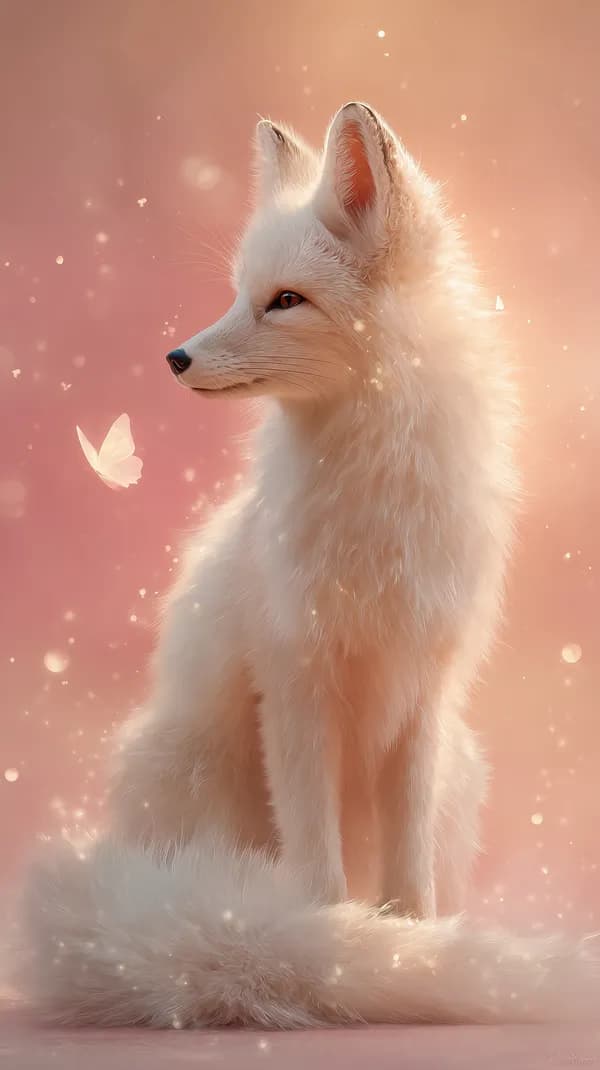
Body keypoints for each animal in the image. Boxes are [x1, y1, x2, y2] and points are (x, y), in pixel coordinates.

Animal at [14, 103, 600, 1028]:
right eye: (238, 292)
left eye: (285, 300)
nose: (174, 358)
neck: (373, 499)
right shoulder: (295, 684)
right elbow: (317, 862)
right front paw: (334, 949)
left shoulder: (423, 696)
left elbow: (408, 871)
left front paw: (410, 941)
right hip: (197, 767)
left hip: (459, 769)